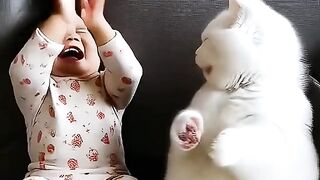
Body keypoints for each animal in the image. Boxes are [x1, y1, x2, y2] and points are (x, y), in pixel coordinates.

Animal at [166, 0, 318, 179]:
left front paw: (223, 147)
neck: (236, 89)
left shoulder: (280, 149)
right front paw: (188, 128)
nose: (196, 52)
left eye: (206, 39)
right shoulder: (182, 162)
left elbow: (256, 139)